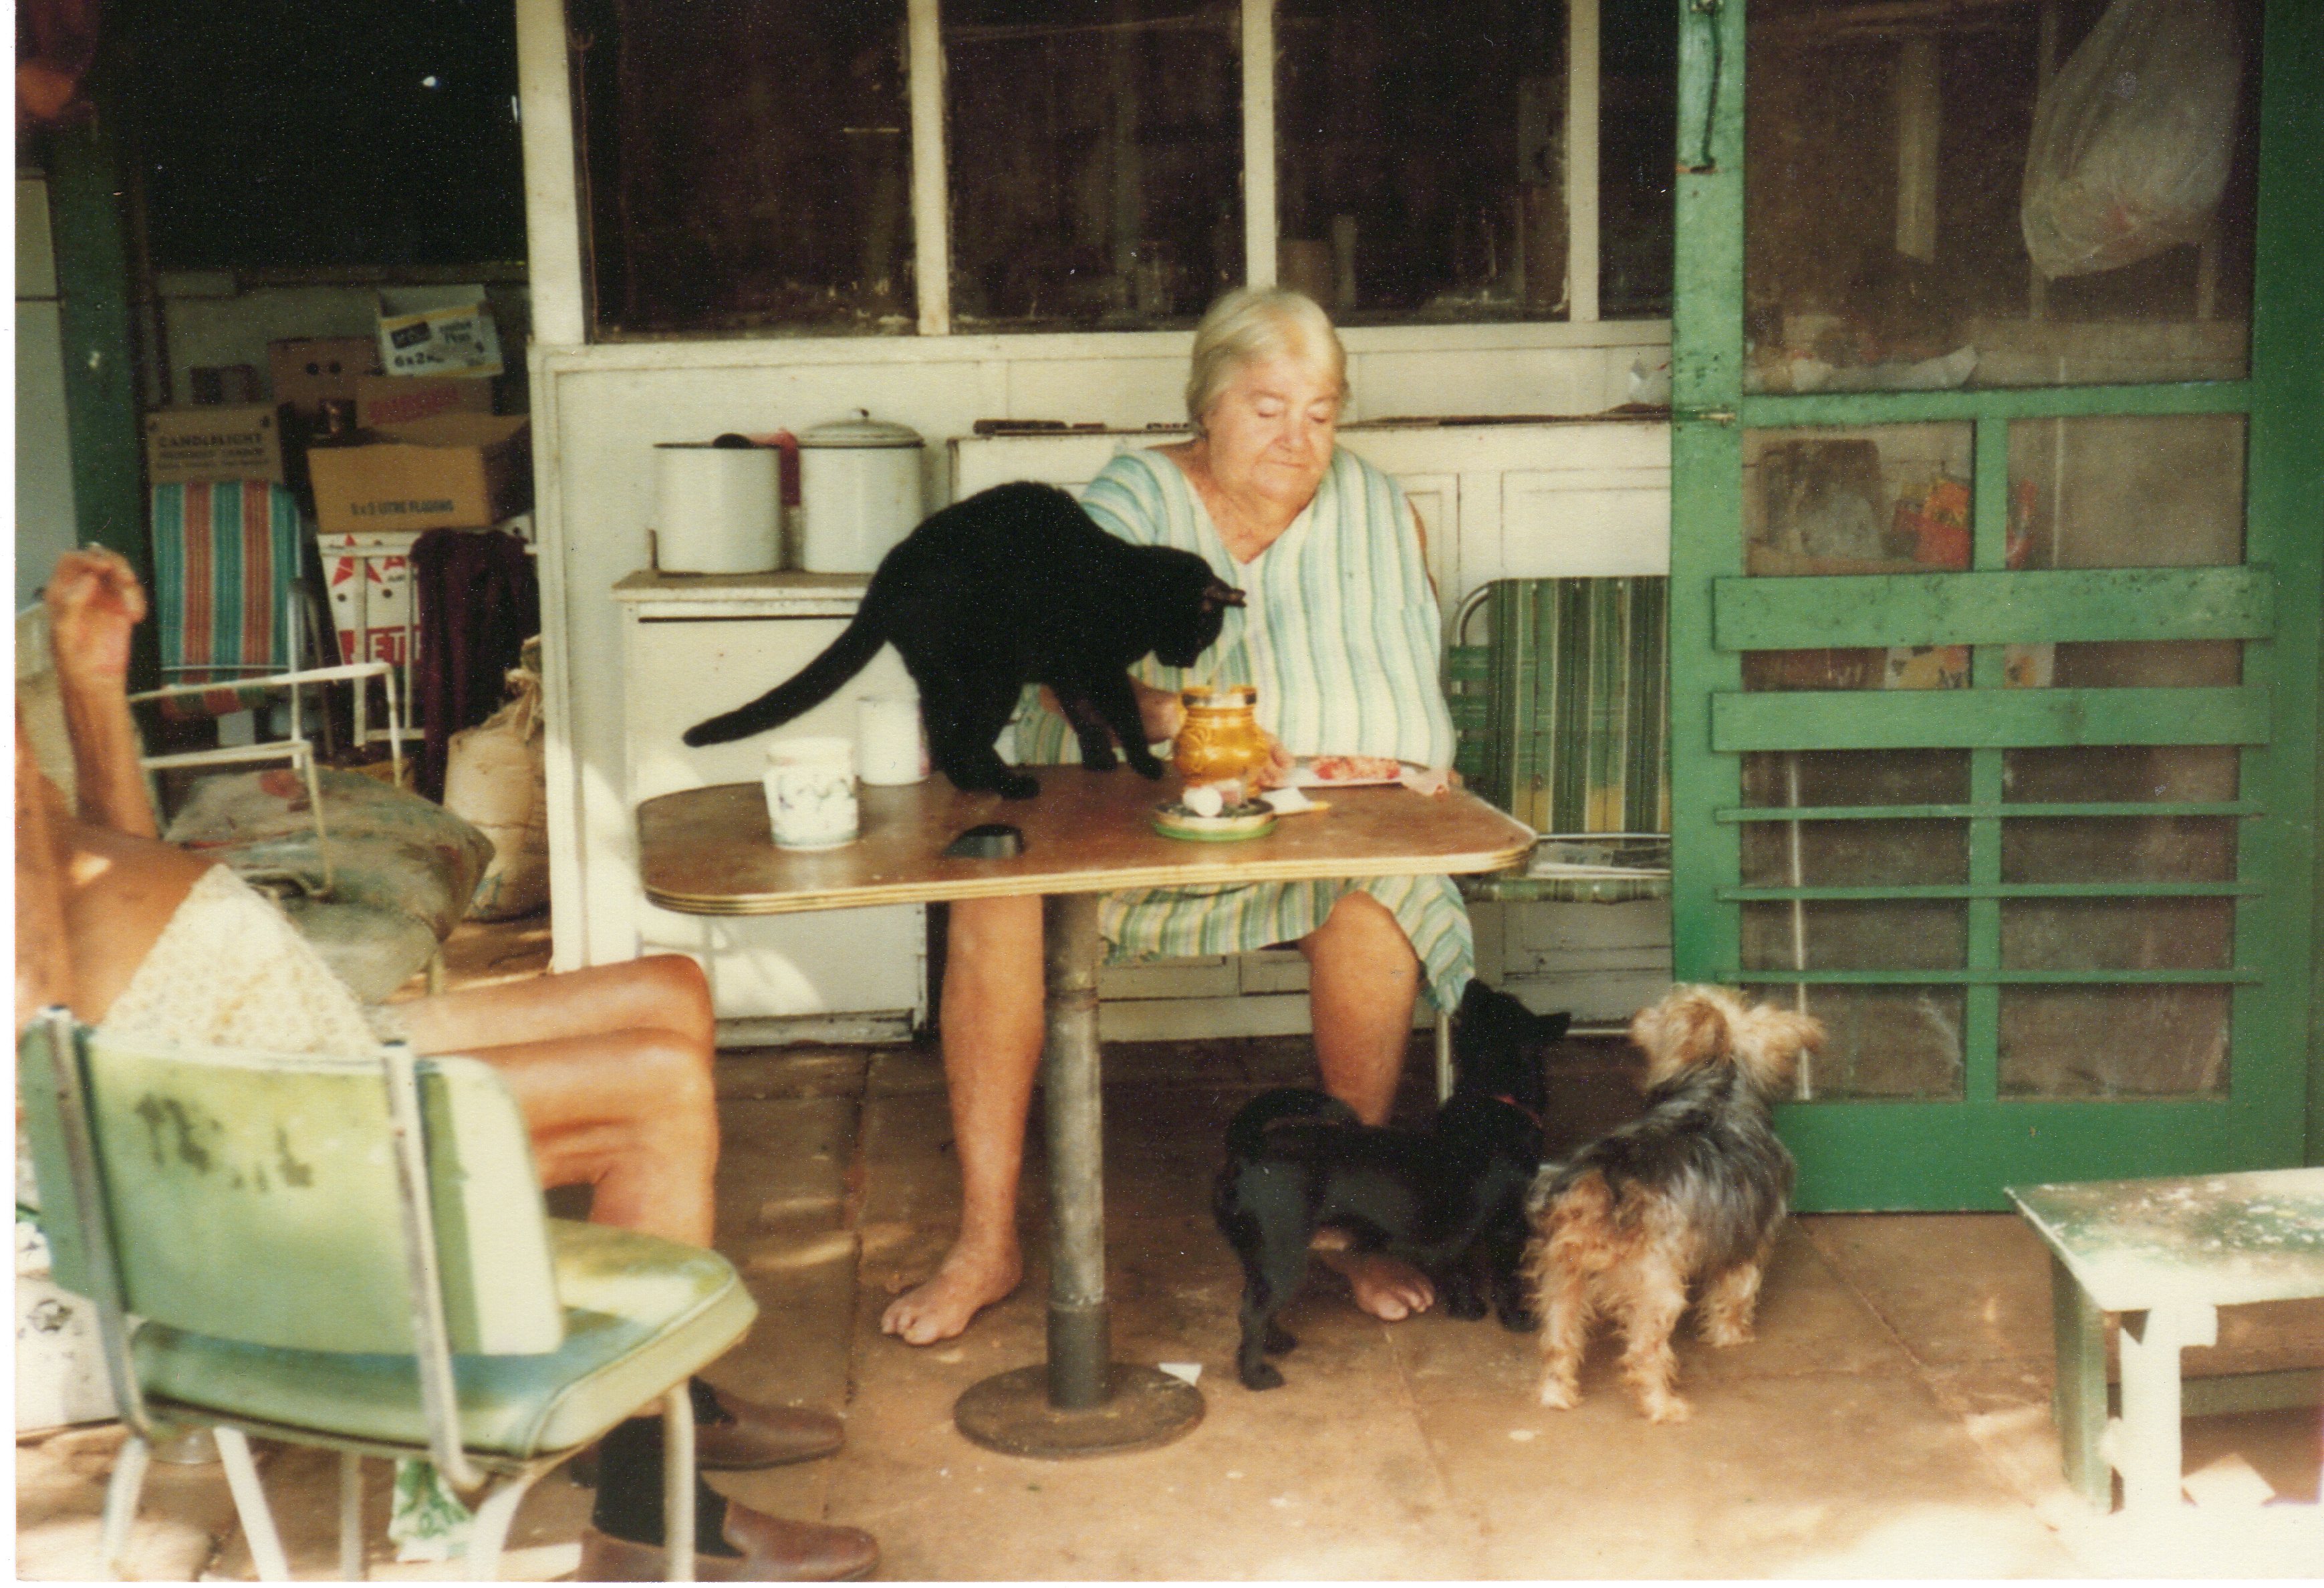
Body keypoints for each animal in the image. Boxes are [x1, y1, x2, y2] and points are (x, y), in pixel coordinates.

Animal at [678, 479, 1245, 799]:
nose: (1187, 659)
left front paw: (1099, 759)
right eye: (1205, 629)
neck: (1135, 588)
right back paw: (1005, 784)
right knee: (963, 736)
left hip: (946, 676)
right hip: (990, 677)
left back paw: (973, 780)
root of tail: (888, 570)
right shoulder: (1097, 666)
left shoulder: (1066, 670)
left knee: (943, 729)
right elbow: (1121, 713)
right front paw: (1144, 763)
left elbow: (1082, 713)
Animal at [1208, 981, 1571, 1395]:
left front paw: (1468, 1310)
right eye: (1499, 1001)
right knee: (1251, 1313)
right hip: (1282, 1256)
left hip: (1260, 1257)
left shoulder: (1459, 1235)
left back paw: (1278, 1342)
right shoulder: (1508, 1229)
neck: (1494, 1099)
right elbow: (1507, 1281)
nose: (1472, 981)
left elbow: (1461, 1271)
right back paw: (1256, 1375)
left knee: (1256, 1303)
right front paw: (1516, 1319)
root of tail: (1248, 1148)